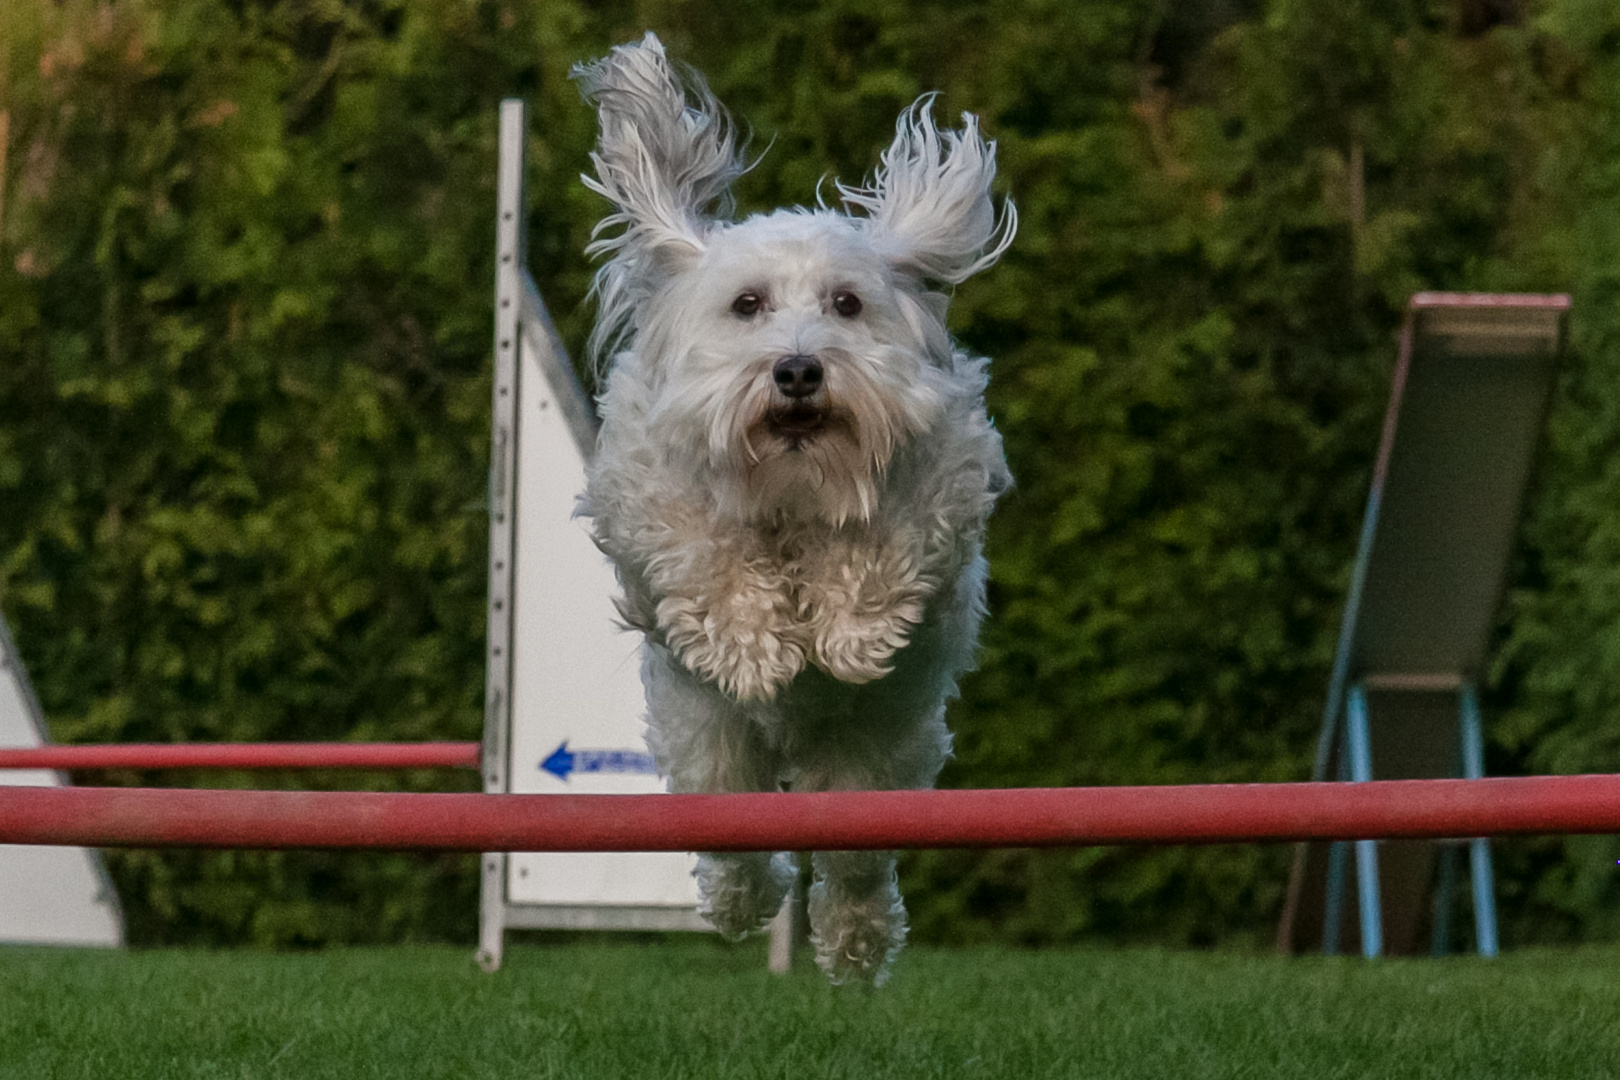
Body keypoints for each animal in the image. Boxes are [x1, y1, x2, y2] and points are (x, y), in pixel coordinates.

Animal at [573, 33, 1010, 984]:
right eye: (748, 305)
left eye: (847, 303)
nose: (800, 370)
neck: (794, 487)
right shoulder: (647, 494)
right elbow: (706, 553)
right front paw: (756, 647)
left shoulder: (947, 477)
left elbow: (884, 546)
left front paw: (848, 634)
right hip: (709, 748)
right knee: (733, 836)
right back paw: (742, 906)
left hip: (877, 761)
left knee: (852, 865)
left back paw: (853, 944)